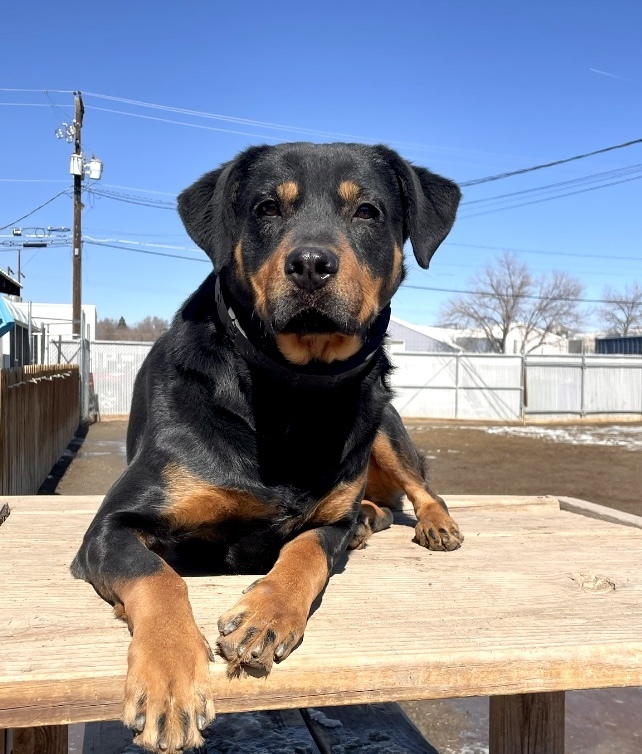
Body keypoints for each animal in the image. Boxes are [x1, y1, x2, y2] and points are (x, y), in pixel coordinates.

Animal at [70, 140, 462, 748]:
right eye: (266, 208)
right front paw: (170, 679)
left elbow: (306, 551)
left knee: (417, 487)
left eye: (368, 211)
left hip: (384, 422)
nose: (311, 264)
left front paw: (266, 615)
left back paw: (430, 523)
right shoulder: (110, 527)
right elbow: (156, 575)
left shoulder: (328, 522)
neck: (293, 391)